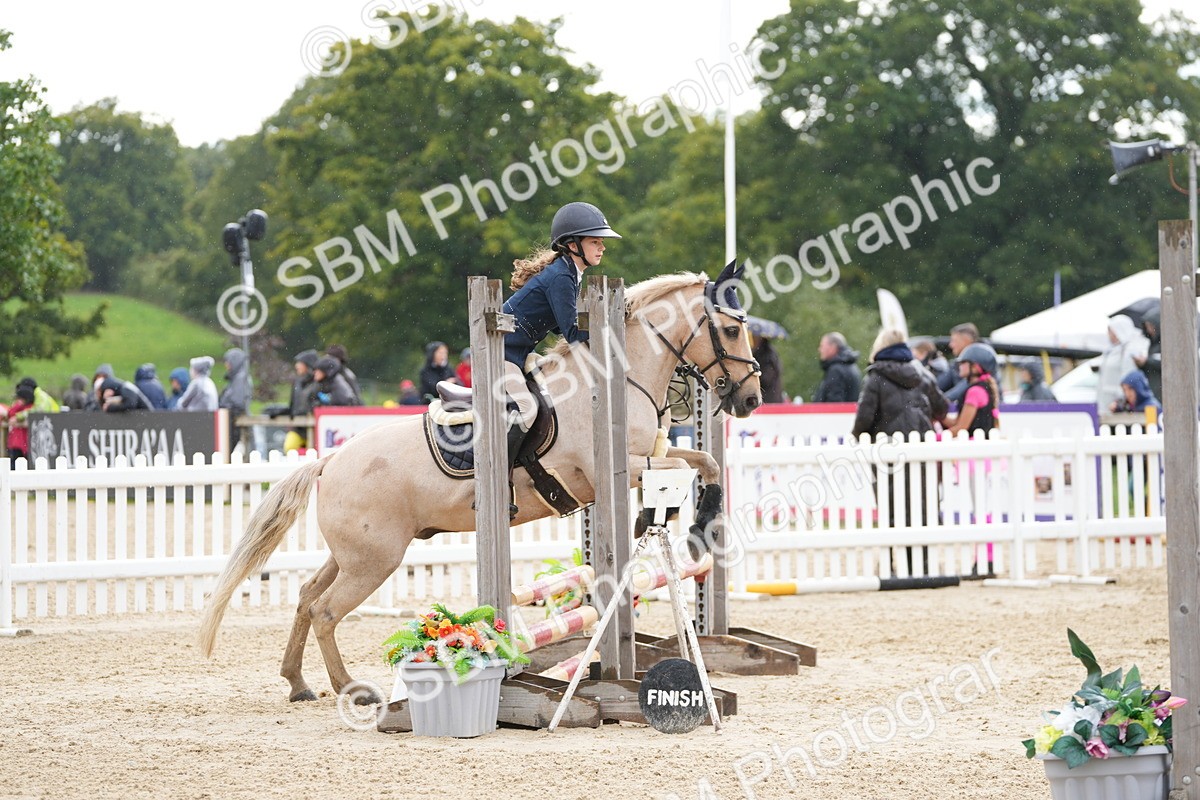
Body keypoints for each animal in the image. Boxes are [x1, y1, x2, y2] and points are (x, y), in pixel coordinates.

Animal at [198, 264, 763, 703]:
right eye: (732, 330)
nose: (752, 398)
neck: (616, 377)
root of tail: (330, 461)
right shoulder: (615, 465)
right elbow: (697, 467)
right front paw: (698, 529)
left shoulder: (643, 460)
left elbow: (704, 461)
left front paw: (696, 527)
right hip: (374, 561)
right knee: (325, 609)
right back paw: (351, 689)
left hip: (353, 554)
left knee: (305, 596)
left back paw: (297, 682)